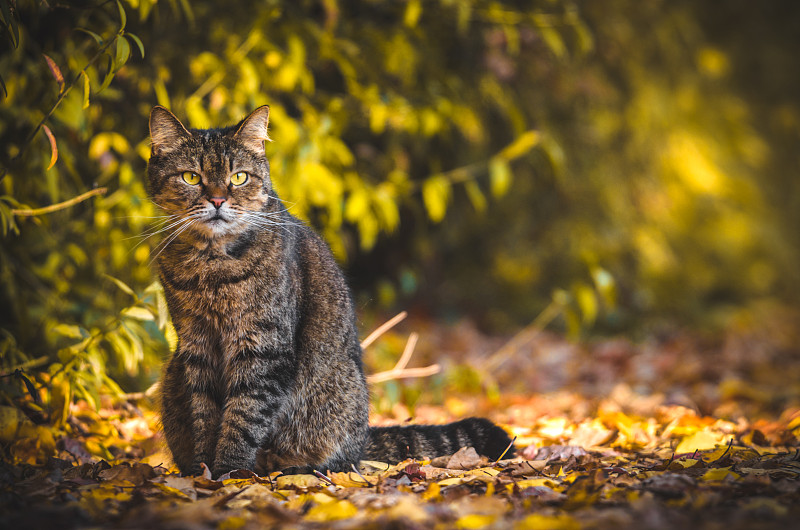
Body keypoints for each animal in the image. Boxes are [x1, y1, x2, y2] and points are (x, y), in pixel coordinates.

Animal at [147, 105, 516, 476]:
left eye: (238, 177)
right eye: (191, 177)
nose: (218, 199)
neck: (211, 264)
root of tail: (363, 438)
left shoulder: (264, 345)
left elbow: (245, 413)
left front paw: (229, 472)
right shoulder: (196, 343)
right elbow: (203, 412)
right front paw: (203, 470)